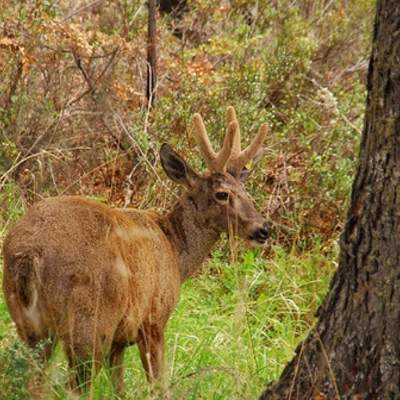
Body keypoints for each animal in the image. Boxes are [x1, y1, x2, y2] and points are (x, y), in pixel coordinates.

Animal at [2, 104, 268, 396]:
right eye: (222, 194)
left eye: (245, 190)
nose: (263, 229)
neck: (175, 251)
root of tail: (29, 255)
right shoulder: (153, 320)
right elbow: (158, 384)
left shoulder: (119, 341)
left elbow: (119, 388)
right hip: (89, 323)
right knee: (77, 387)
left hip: (28, 324)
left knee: (33, 382)